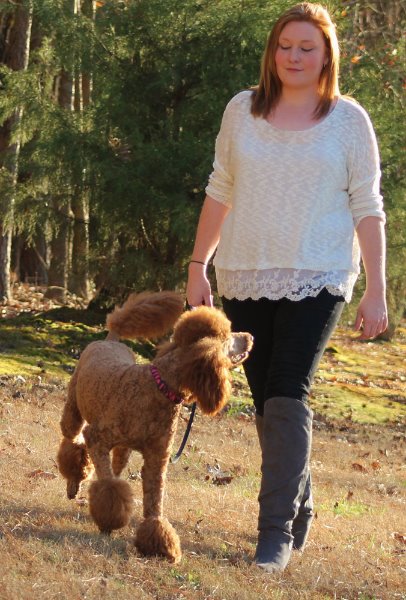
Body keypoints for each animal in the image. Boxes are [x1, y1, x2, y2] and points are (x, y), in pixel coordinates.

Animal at [57, 291, 253, 563]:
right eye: (227, 337)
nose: (250, 337)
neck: (159, 387)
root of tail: (111, 339)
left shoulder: (157, 460)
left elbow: (153, 504)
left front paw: (160, 545)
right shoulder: (97, 437)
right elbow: (109, 486)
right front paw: (109, 521)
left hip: (123, 450)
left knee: (110, 465)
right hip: (74, 412)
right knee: (72, 442)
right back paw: (74, 481)